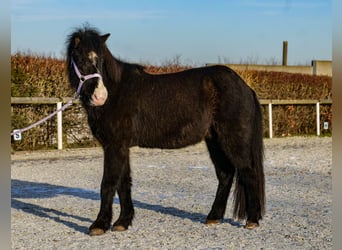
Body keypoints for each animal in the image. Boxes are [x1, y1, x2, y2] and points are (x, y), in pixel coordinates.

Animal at [66, 26, 264, 235]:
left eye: (101, 60)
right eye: (79, 58)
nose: (100, 96)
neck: (117, 92)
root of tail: (244, 86)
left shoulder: (115, 146)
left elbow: (108, 183)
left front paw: (99, 225)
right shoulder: (121, 147)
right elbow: (123, 183)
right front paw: (122, 222)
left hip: (234, 140)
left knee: (249, 173)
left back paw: (252, 220)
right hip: (214, 141)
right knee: (225, 174)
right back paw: (214, 217)